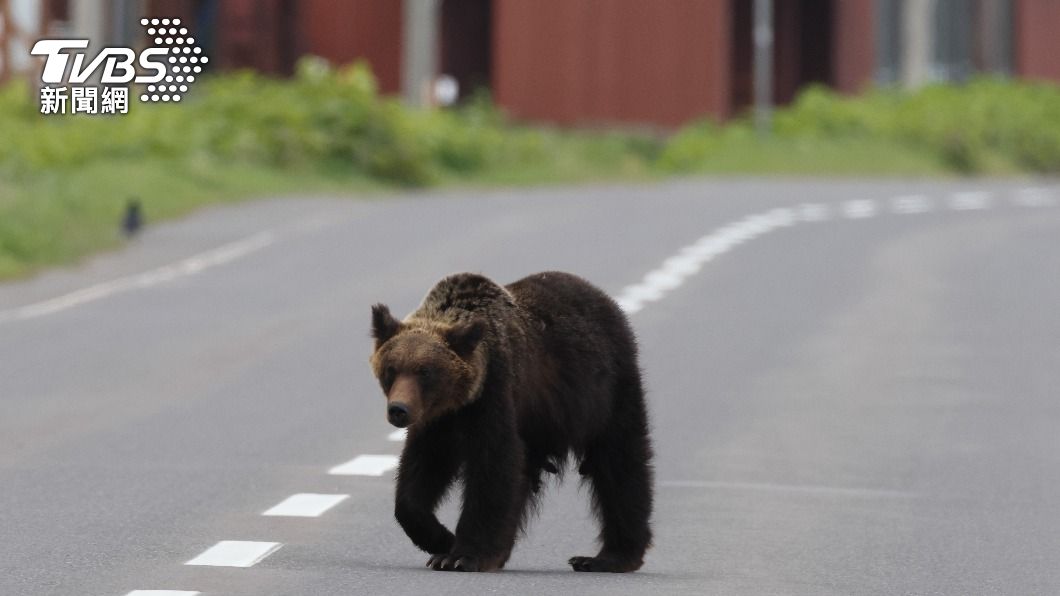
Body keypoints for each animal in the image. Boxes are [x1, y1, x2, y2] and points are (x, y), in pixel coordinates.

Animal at [373, 270, 652, 572]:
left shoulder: (495, 394)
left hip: (606, 392)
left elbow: (493, 468)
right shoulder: (437, 422)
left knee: (620, 464)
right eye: (391, 369)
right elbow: (420, 473)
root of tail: (603, 297)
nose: (399, 410)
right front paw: (440, 540)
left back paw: (608, 556)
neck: (460, 401)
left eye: (425, 371)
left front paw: (461, 555)